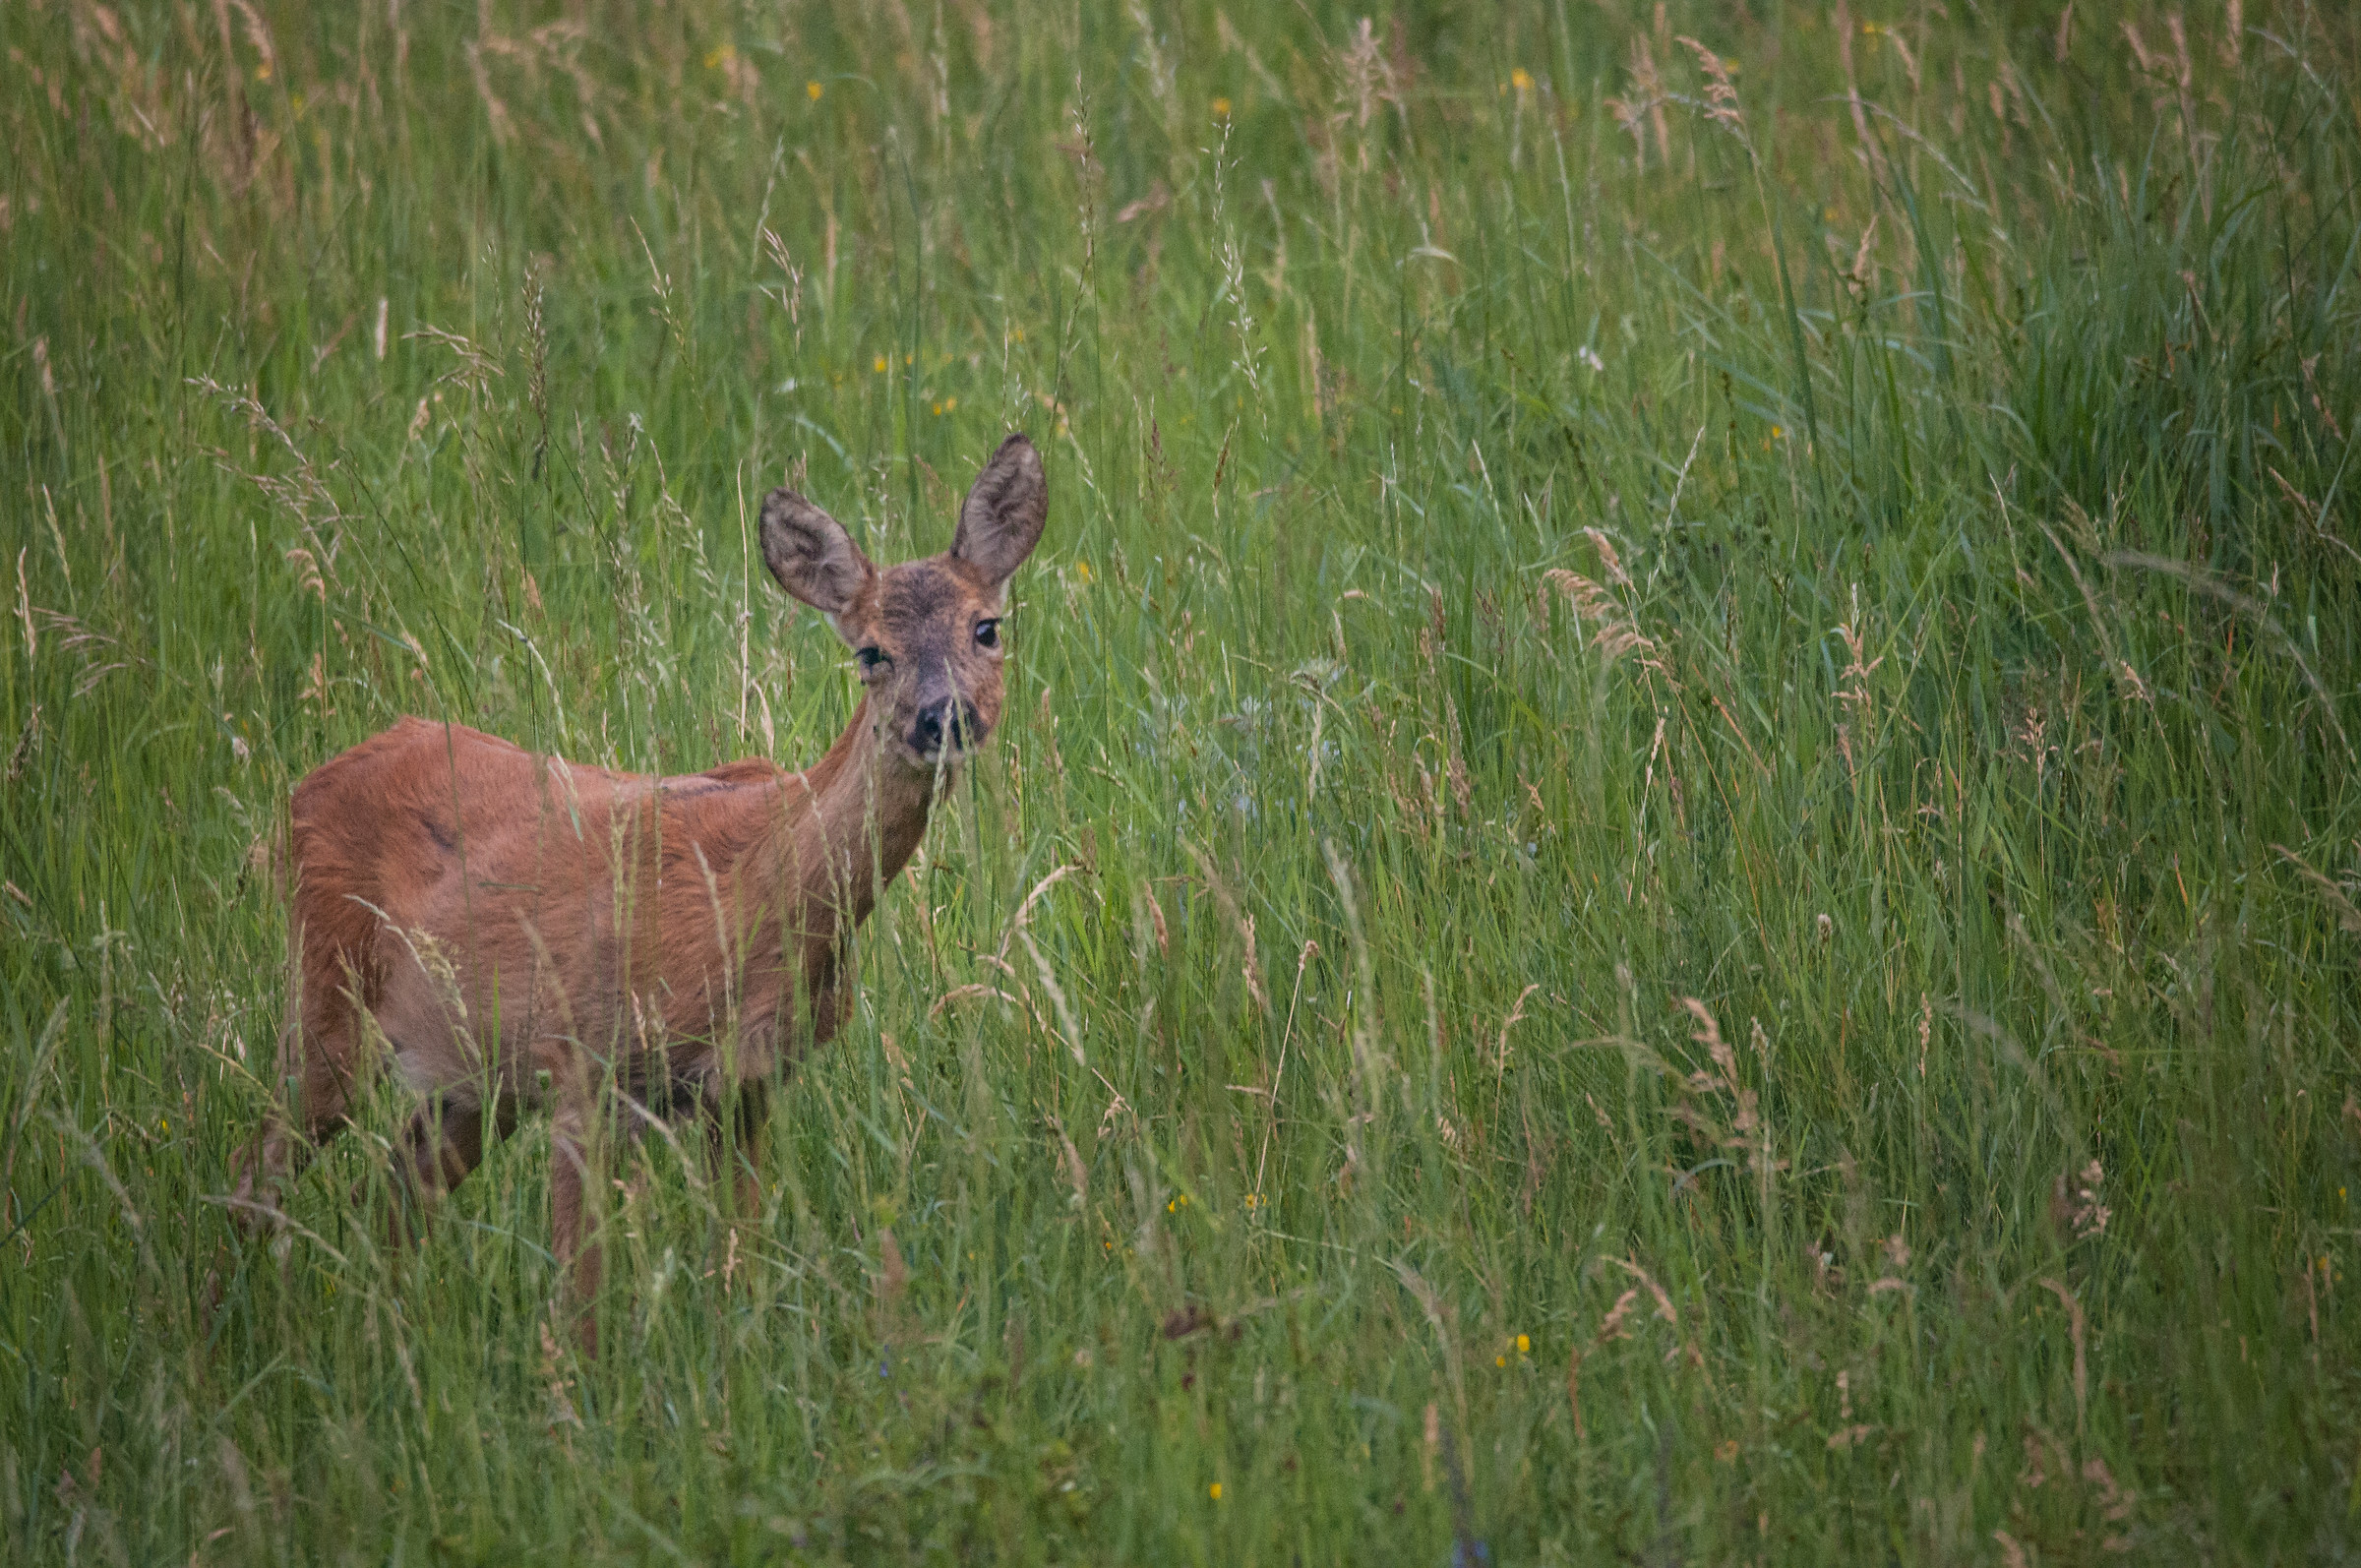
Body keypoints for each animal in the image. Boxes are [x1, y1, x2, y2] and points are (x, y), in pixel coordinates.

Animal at [229, 433, 1047, 1351]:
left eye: (987, 627)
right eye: (872, 652)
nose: (945, 718)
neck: (754, 894)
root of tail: (302, 790)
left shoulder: (746, 1084)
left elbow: (742, 1264)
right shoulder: (584, 1062)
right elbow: (577, 1299)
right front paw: (576, 1384)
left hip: (468, 1076)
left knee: (391, 1192)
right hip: (329, 1001)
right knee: (256, 1172)